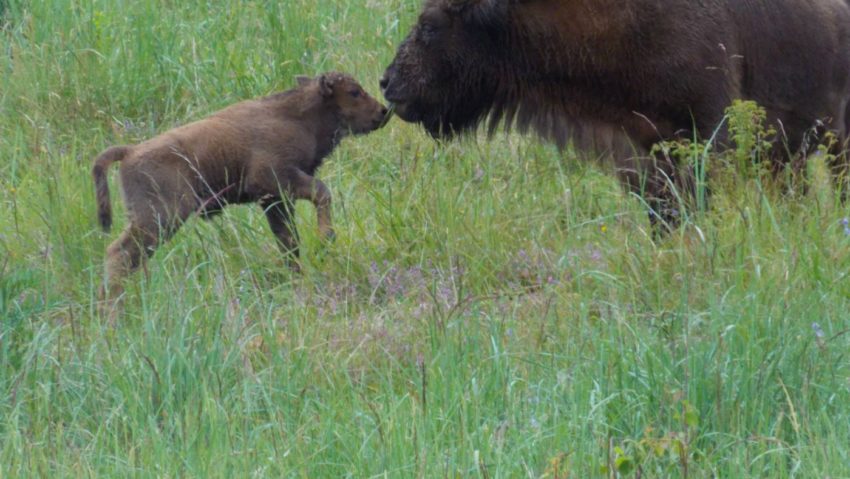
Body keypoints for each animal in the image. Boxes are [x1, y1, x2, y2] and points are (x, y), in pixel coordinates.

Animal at [92, 72, 388, 300]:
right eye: (354, 92)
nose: (383, 112)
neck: (296, 115)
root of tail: (130, 152)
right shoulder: (277, 181)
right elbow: (322, 193)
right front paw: (326, 237)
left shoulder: (275, 200)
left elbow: (288, 241)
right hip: (160, 218)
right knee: (119, 254)